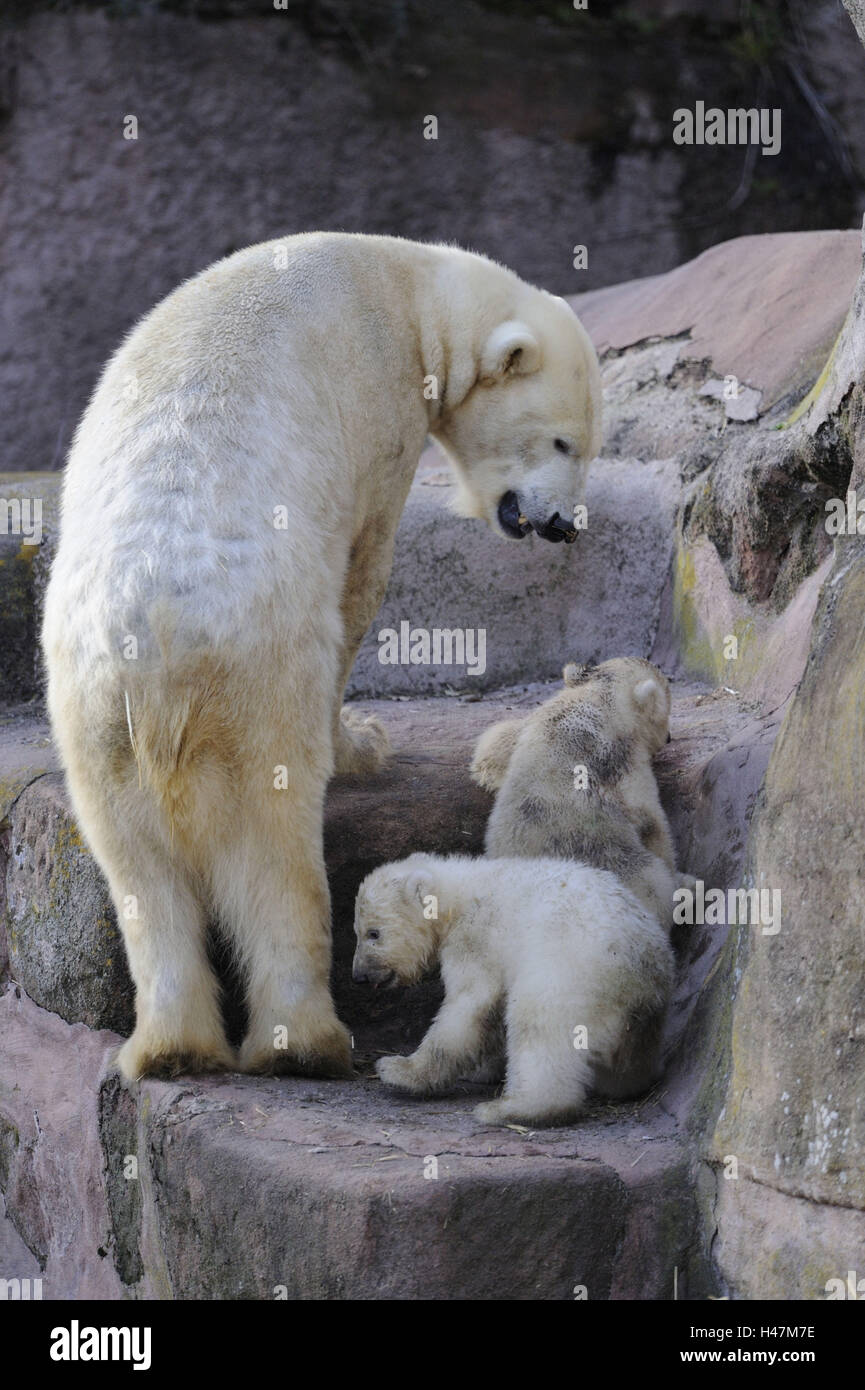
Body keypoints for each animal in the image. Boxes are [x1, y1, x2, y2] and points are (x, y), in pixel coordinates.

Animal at [44, 227, 603, 1078]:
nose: (564, 525)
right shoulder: (376, 400)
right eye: (562, 440)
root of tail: (156, 648)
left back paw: (169, 1047)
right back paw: (304, 1040)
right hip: (254, 680)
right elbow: (361, 573)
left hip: (92, 714)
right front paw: (363, 741)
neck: (410, 288)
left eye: (588, 446)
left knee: (137, 873)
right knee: (273, 850)